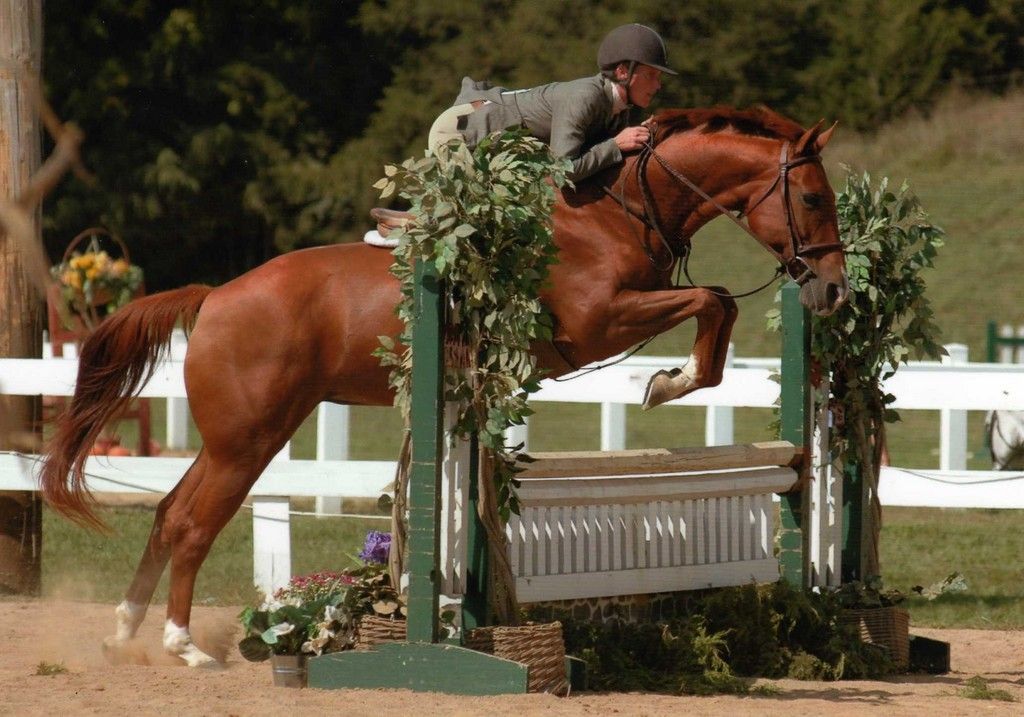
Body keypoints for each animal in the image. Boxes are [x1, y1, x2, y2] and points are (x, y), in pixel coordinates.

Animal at [39, 106, 847, 667]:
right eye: (812, 200)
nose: (834, 290)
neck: (619, 207)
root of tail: (214, 297)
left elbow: (719, 303)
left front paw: (673, 378)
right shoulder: (601, 321)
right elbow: (713, 299)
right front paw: (669, 381)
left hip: (240, 434)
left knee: (167, 512)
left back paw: (125, 632)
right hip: (249, 438)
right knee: (190, 523)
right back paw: (181, 645)